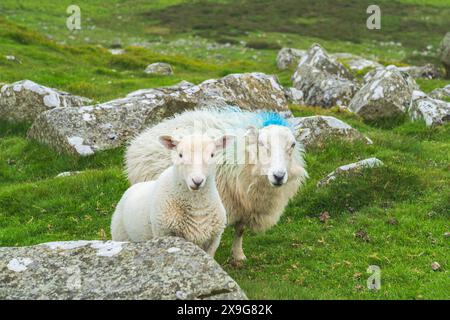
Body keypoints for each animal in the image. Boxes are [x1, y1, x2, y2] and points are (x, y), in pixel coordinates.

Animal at [126, 107, 310, 262]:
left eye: (293, 144)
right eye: (262, 143)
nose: (278, 176)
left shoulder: (245, 206)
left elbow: (240, 230)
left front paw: (238, 256)